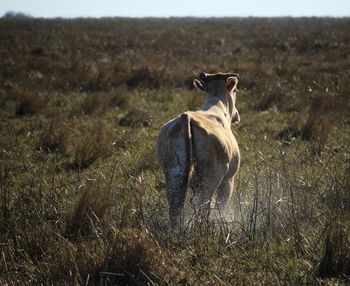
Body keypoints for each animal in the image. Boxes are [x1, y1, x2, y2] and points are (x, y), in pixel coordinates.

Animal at [157, 72, 241, 229]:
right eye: (235, 91)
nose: (237, 115)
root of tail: (187, 116)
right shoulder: (228, 181)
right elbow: (220, 206)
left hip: (173, 173)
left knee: (175, 206)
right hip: (210, 178)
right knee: (203, 205)